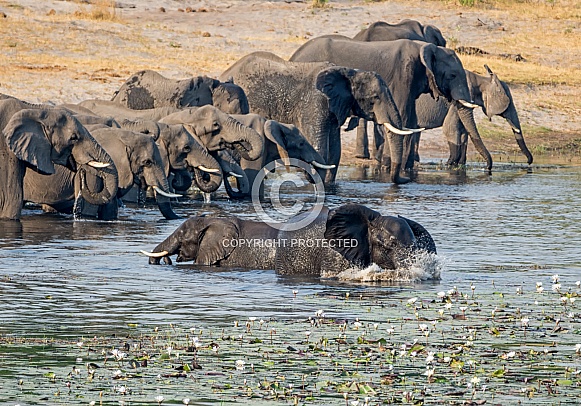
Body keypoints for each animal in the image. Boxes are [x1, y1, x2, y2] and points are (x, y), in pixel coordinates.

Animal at [219, 52, 412, 184]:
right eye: (375, 98)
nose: (406, 179)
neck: (349, 73)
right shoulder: (315, 103)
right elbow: (322, 148)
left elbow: (335, 151)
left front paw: (327, 185)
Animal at [290, 38, 490, 184]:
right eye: (452, 75)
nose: (488, 169)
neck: (426, 48)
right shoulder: (403, 76)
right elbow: (404, 117)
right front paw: (390, 167)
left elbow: (410, 120)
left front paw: (405, 169)